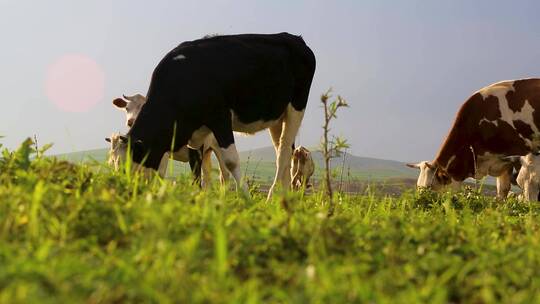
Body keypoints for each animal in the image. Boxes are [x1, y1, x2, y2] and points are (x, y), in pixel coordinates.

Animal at [122, 33, 316, 198]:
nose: (128, 192)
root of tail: (295, 38)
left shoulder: (220, 117)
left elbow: (230, 161)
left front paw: (246, 198)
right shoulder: (196, 135)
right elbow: (199, 171)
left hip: (297, 106)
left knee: (284, 152)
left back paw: (271, 197)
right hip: (276, 118)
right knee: (283, 152)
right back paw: (283, 198)